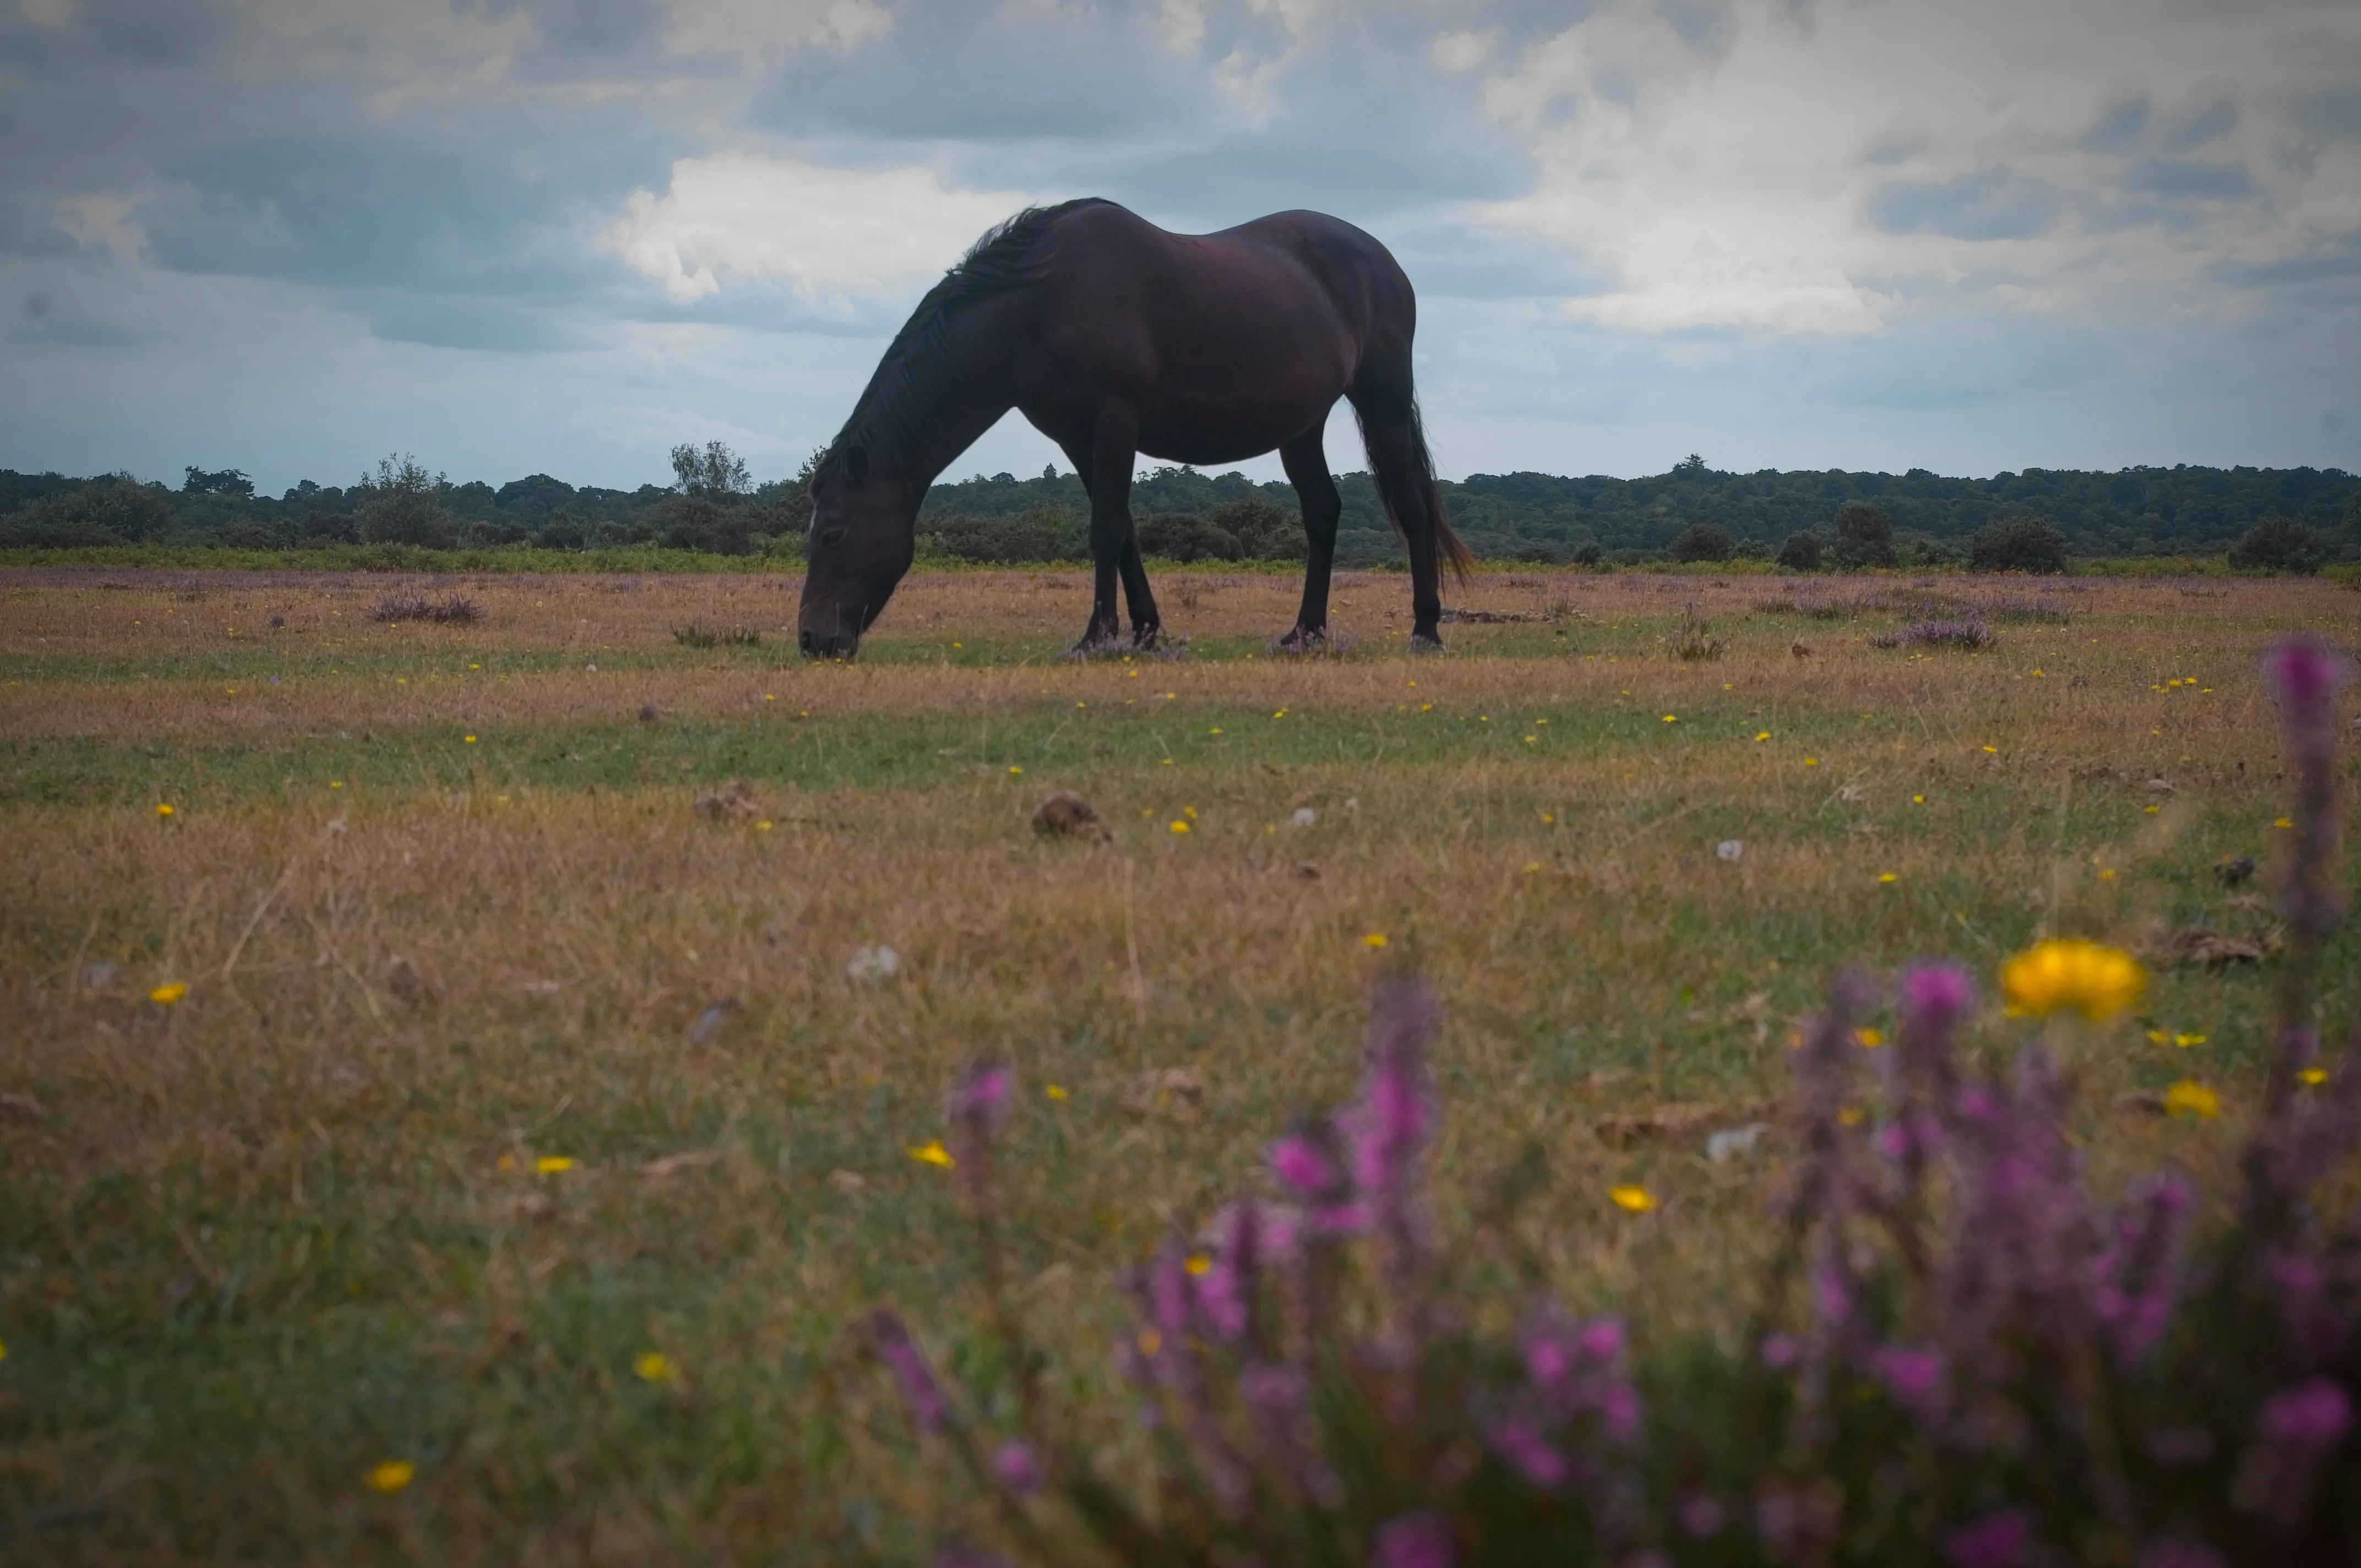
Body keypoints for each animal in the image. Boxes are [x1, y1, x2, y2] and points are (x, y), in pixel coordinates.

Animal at [796, 198, 1473, 660]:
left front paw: (1096, 636)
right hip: (1301, 427)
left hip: (1382, 402)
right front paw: (1145, 629)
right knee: (1323, 512)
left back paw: (1425, 628)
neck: (1039, 304)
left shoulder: (1115, 419)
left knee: (1412, 505)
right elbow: (1121, 529)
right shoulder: (1077, 438)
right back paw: (1304, 630)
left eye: (832, 534)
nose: (813, 639)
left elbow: (1104, 528)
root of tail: (1384, 260)